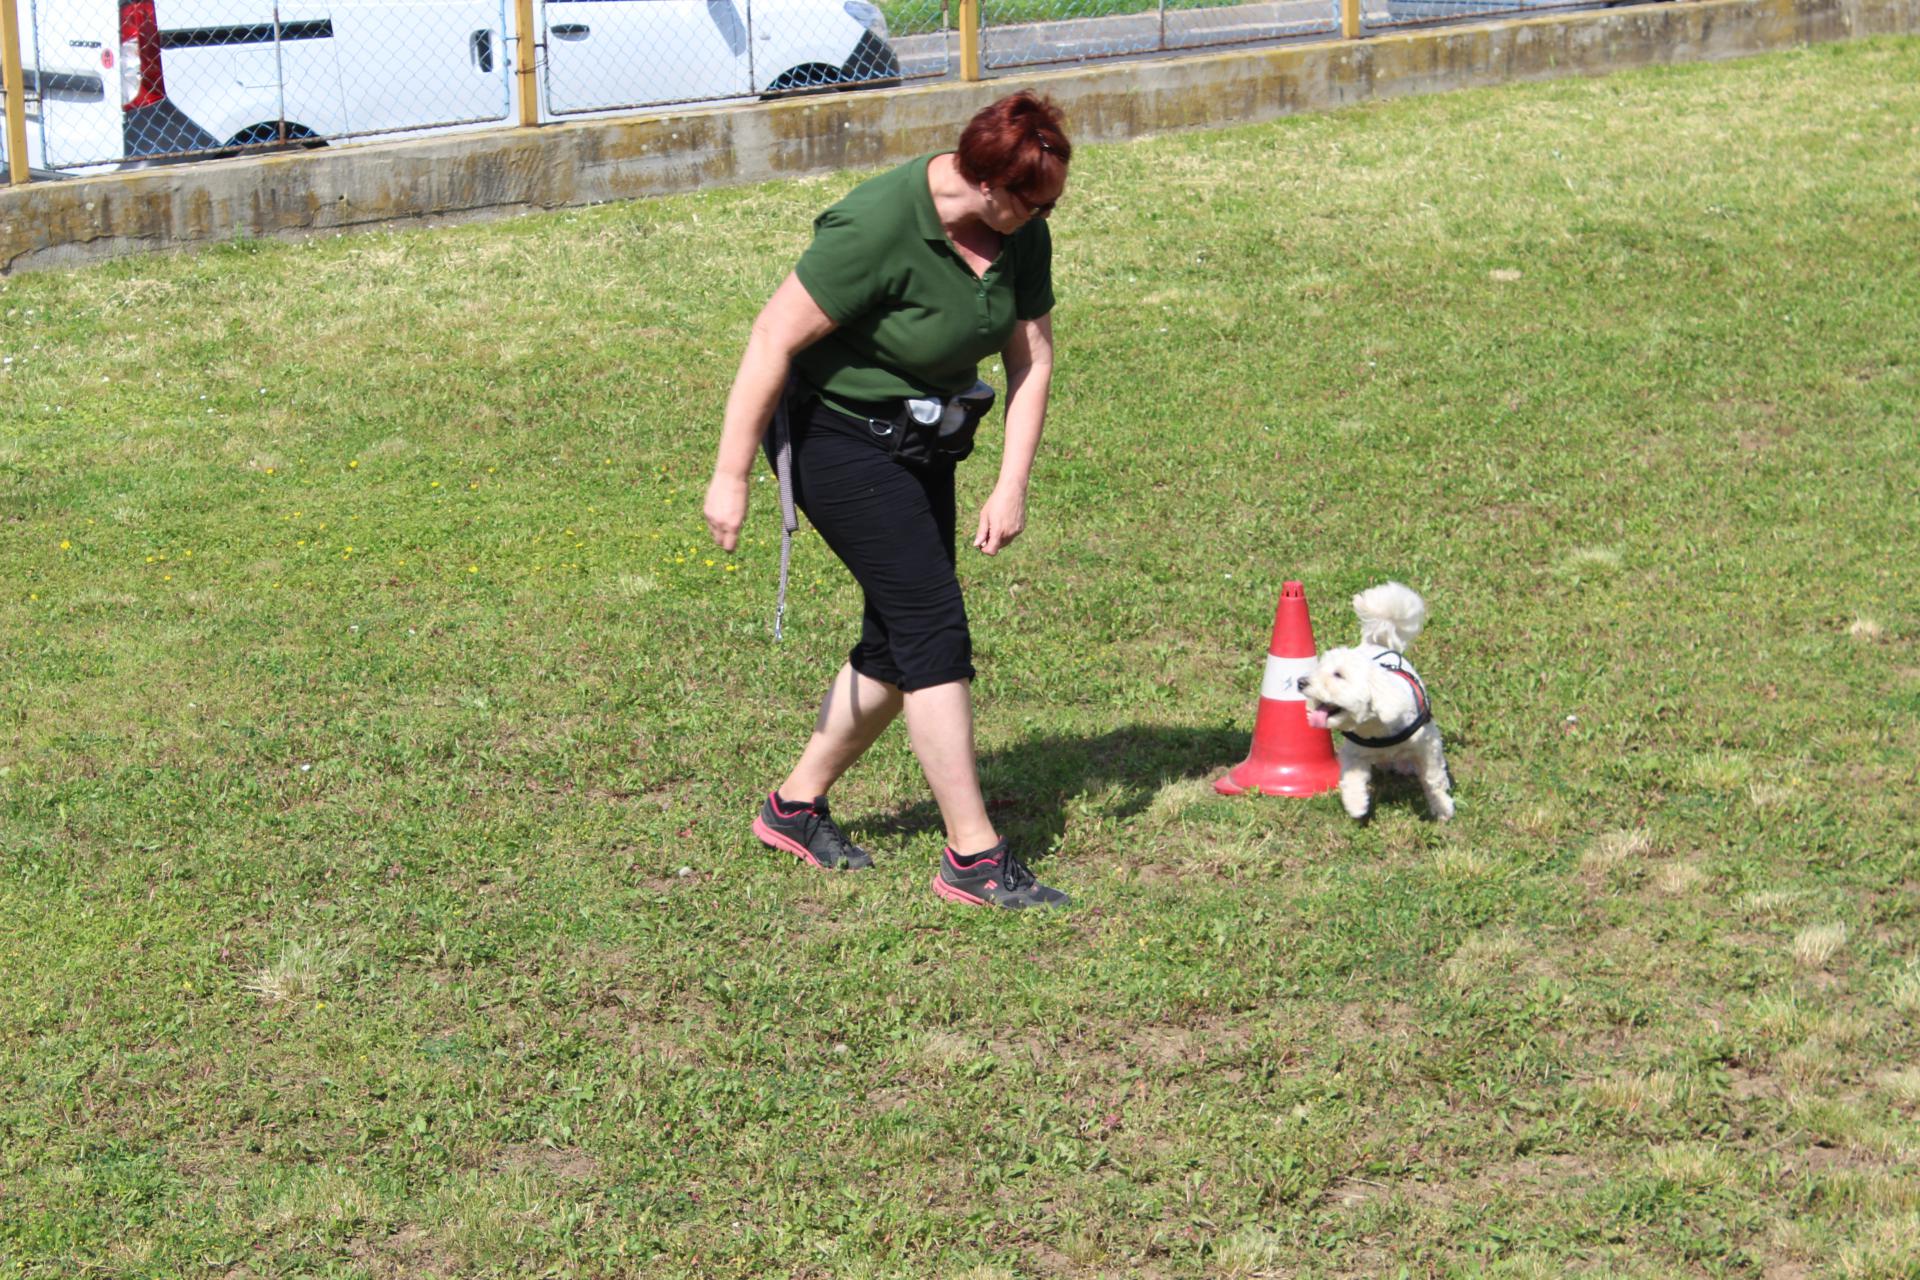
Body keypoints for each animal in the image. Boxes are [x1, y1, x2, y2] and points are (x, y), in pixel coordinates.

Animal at [1299, 582, 1454, 822]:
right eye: (1319, 669)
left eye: (1338, 675)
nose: (1301, 682)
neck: (1375, 726)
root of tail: (1376, 643)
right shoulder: (1354, 754)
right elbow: (1352, 779)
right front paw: (1356, 805)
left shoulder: (1428, 744)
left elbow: (1433, 777)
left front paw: (1442, 806)